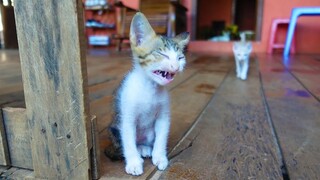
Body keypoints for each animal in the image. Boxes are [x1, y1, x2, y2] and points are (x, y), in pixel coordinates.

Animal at [105, 12, 190, 176]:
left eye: (180, 58)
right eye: (162, 54)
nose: (176, 66)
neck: (150, 88)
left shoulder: (163, 116)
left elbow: (161, 138)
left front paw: (160, 156)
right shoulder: (127, 117)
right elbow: (128, 141)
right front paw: (133, 162)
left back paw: (145, 148)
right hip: (114, 128)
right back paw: (139, 150)